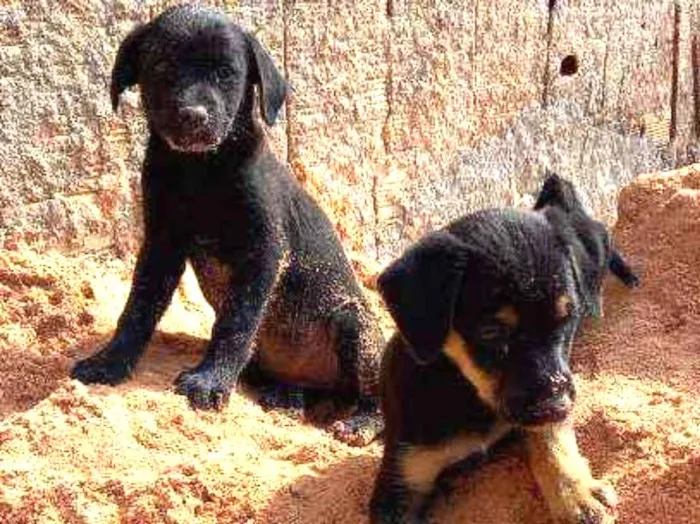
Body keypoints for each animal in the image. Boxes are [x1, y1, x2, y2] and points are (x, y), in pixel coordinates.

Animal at [71, 5, 382, 446]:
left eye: (226, 73)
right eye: (162, 66)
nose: (193, 116)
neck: (201, 170)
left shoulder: (264, 253)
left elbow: (237, 322)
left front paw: (210, 381)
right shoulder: (161, 244)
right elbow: (137, 309)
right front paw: (110, 362)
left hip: (356, 326)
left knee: (374, 395)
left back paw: (361, 422)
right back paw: (287, 395)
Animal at [372, 174, 640, 520]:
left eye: (568, 318)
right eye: (491, 332)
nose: (556, 404)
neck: (465, 391)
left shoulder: (543, 408)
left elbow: (551, 442)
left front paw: (577, 495)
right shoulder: (403, 477)